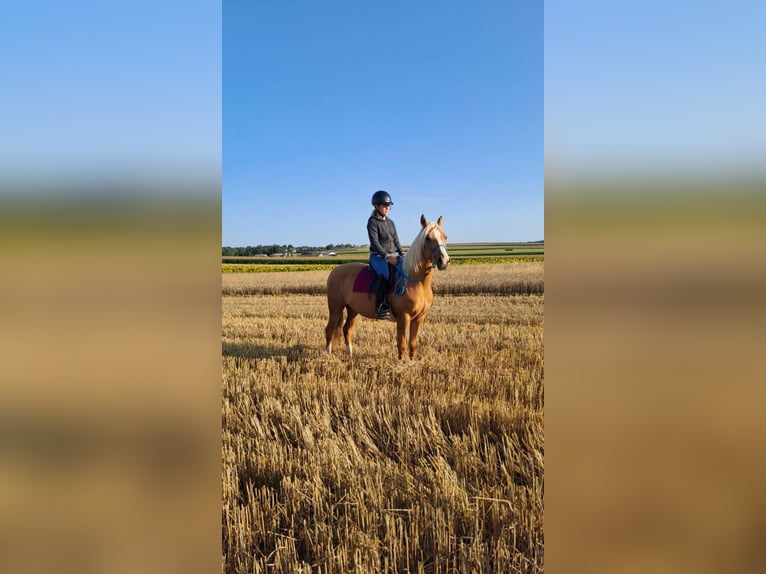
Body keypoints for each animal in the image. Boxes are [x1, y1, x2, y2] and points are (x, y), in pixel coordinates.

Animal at [325, 214, 450, 359]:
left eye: (445, 236)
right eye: (428, 238)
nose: (444, 261)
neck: (415, 281)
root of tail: (334, 271)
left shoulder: (419, 317)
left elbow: (413, 344)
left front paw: (413, 362)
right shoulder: (404, 317)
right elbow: (401, 343)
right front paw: (402, 363)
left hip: (353, 310)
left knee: (347, 329)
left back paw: (349, 354)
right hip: (336, 308)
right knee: (329, 329)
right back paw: (328, 355)